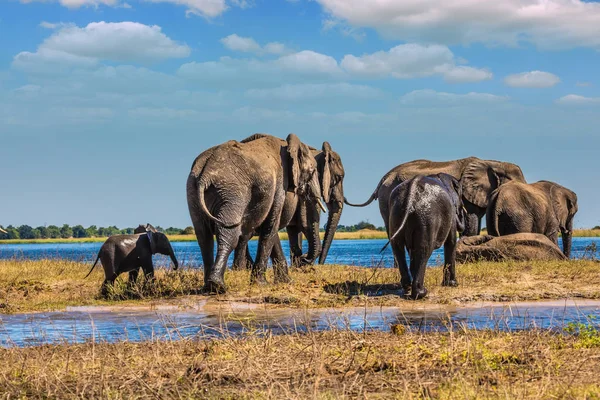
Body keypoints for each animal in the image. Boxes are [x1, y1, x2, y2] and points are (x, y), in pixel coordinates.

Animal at [188, 133, 326, 292]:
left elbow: (271, 227)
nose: (304, 258)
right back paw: (217, 286)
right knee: (230, 233)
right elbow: (271, 225)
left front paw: (286, 281)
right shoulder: (280, 182)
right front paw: (261, 284)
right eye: (313, 171)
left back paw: (208, 286)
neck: (287, 145)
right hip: (233, 192)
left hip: (193, 191)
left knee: (204, 237)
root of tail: (205, 174)